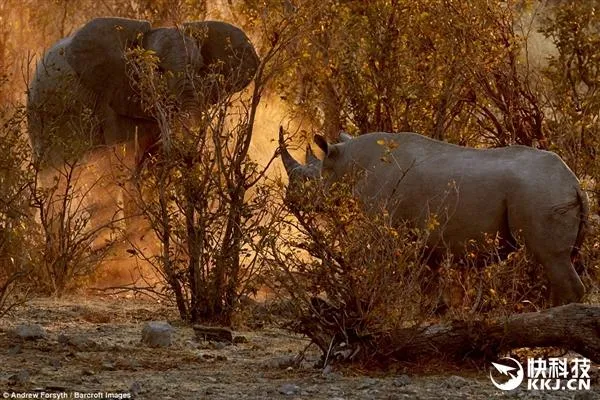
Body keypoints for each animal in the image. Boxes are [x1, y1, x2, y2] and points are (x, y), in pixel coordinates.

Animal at [278, 130, 588, 304]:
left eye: (312, 179)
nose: (293, 200)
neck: (347, 161)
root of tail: (574, 182)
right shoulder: (427, 241)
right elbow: (429, 284)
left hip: (541, 192)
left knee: (551, 259)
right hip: (545, 191)